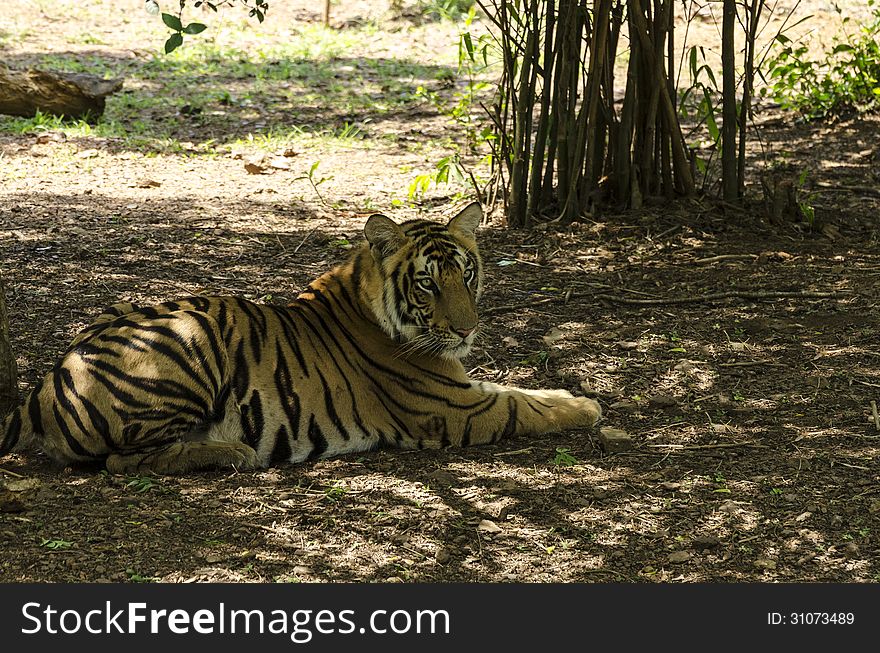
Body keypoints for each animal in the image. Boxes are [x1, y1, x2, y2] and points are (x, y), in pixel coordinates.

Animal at [0, 201, 600, 472]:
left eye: (467, 273)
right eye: (428, 282)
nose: (467, 327)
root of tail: (44, 386)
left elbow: (517, 387)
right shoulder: (453, 407)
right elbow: (524, 404)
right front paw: (586, 405)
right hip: (187, 338)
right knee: (124, 461)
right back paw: (234, 452)